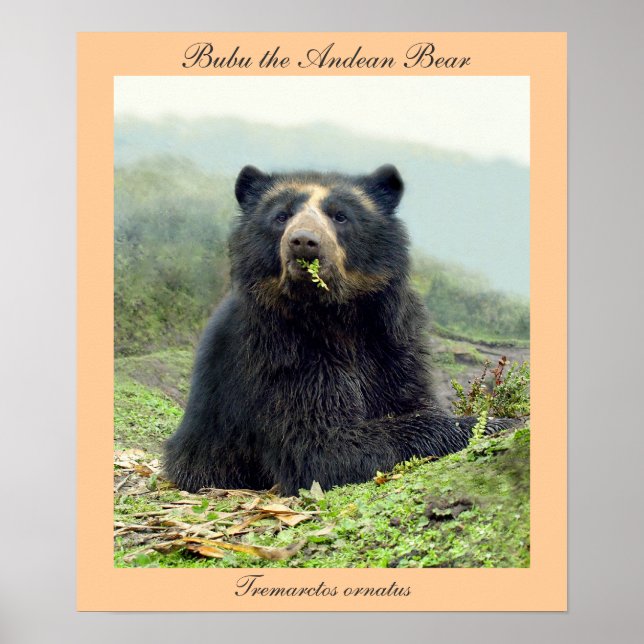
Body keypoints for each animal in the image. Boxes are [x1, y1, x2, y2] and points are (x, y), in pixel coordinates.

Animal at [163, 164, 508, 495]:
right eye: (281, 216)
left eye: (340, 215)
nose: (303, 242)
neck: (333, 313)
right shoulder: (275, 352)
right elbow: (320, 447)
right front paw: (493, 423)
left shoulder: (393, 339)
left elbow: (410, 397)